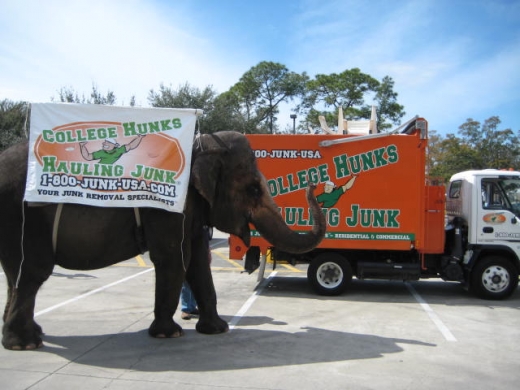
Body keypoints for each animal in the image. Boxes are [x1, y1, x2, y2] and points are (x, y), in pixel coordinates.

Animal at [0, 132, 324, 350]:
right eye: (254, 189)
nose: (314, 184)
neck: (202, 144)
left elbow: (198, 262)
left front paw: (216, 330)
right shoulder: (169, 209)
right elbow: (174, 258)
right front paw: (169, 334)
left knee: (15, 275)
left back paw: (29, 336)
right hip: (23, 217)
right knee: (32, 271)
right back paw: (25, 344)